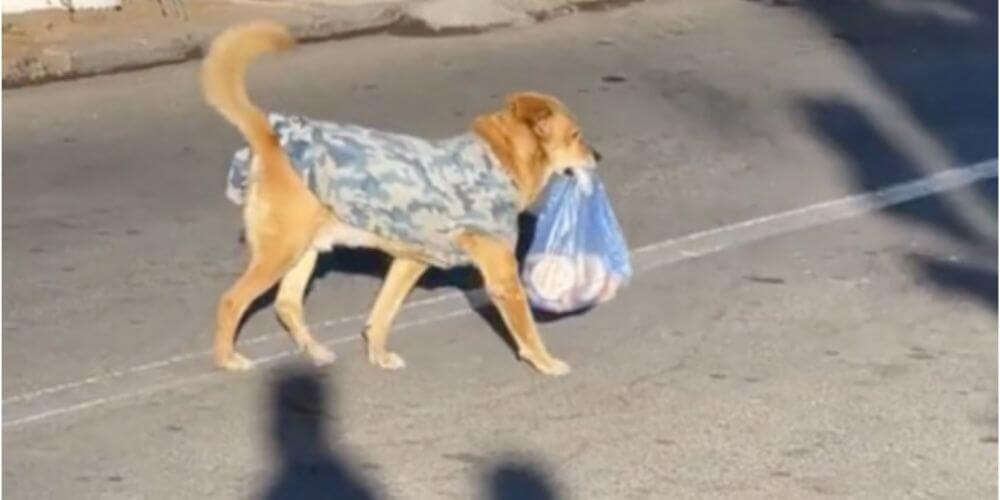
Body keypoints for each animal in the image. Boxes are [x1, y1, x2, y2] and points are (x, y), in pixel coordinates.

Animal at [199, 22, 596, 376]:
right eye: (575, 135)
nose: (598, 156)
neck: (499, 159)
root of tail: (271, 139)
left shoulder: (410, 261)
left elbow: (382, 313)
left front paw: (377, 354)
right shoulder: (503, 277)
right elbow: (526, 328)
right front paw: (545, 362)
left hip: (304, 251)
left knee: (287, 304)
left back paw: (315, 352)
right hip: (280, 252)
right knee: (231, 300)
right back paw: (227, 359)